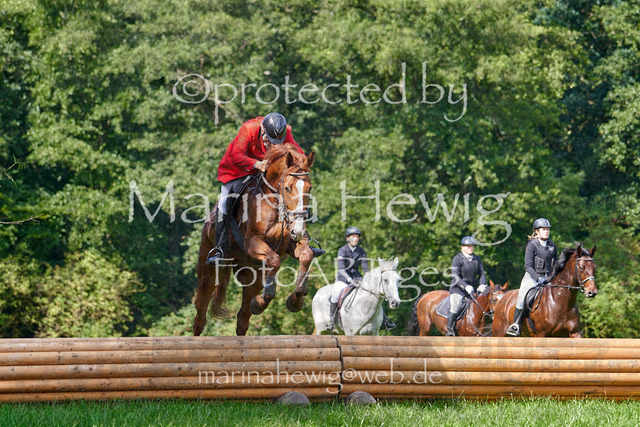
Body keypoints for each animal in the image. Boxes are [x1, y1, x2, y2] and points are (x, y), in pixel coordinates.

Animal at [194, 145, 316, 336]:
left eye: (309, 188)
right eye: (287, 188)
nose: (297, 230)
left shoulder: (292, 244)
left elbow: (306, 255)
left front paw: (295, 300)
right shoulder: (252, 243)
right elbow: (274, 259)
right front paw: (265, 299)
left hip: (252, 276)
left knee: (243, 318)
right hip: (209, 273)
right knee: (200, 314)